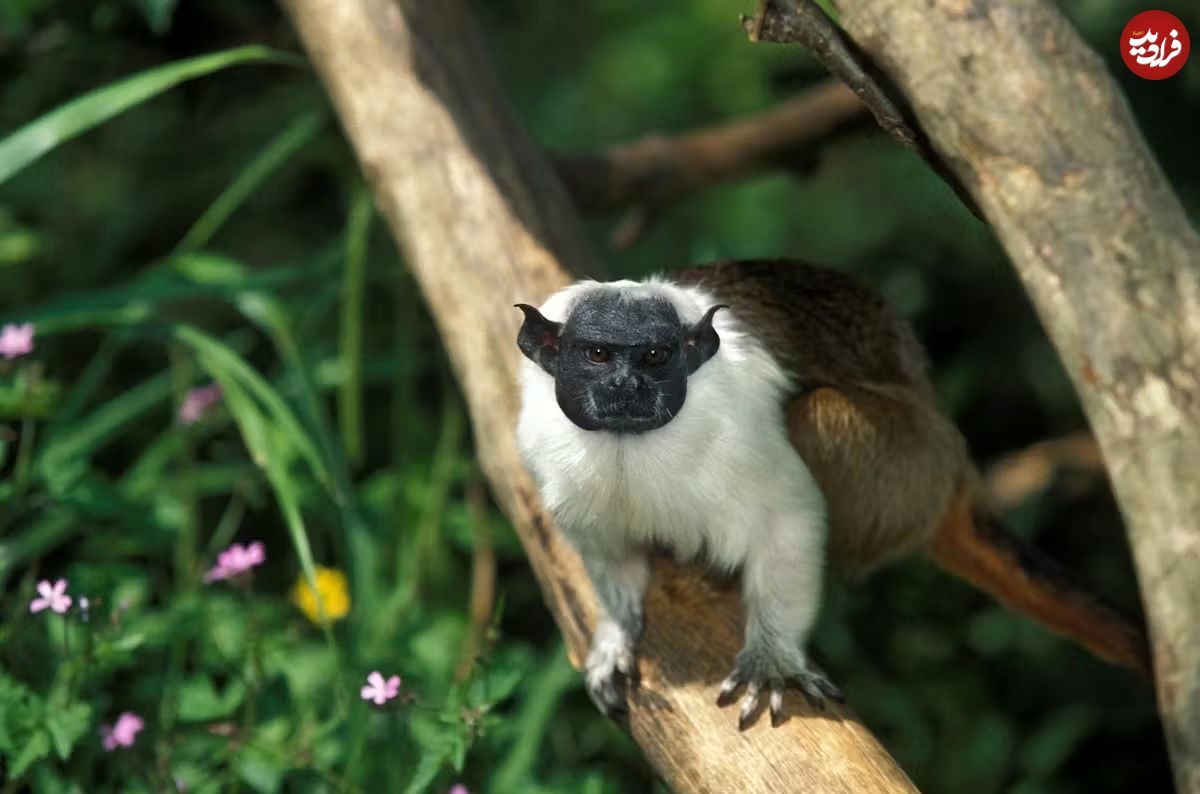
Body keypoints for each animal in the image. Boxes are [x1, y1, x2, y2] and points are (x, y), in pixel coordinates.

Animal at [516, 257, 1152, 729]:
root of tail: (956, 471)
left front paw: (773, 656)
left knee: (818, 416)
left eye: (655, 356)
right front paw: (617, 631)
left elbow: (790, 520)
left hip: (913, 466)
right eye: (597, 354)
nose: (628, 387)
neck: (629, 445)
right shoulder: (544, 450)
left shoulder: (737, 431)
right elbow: (606, 550)